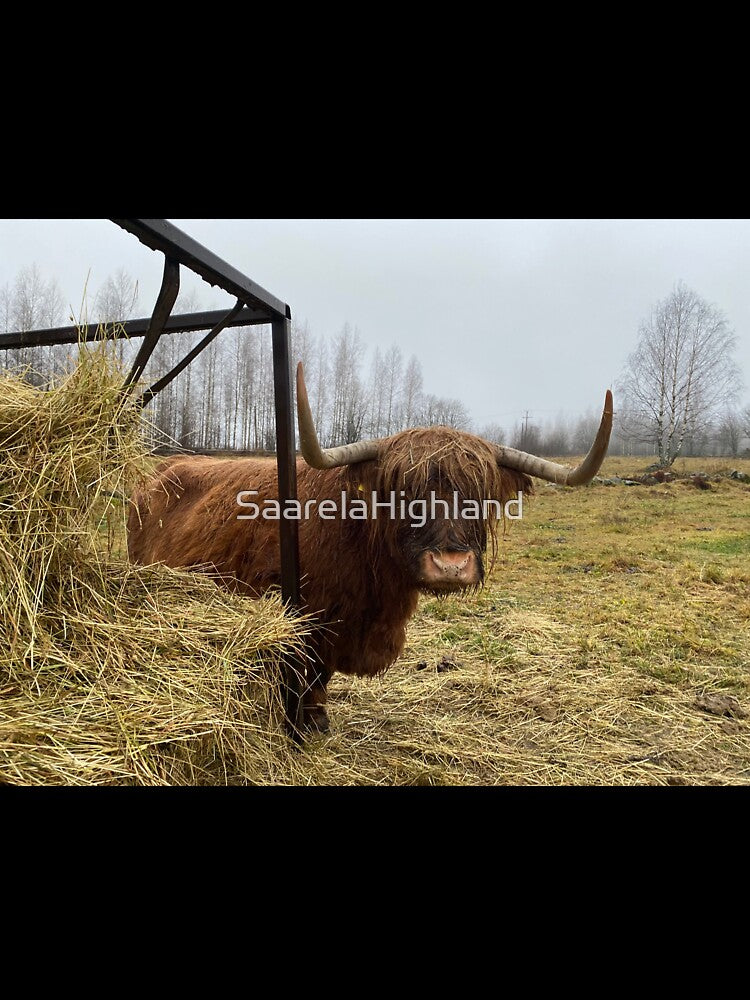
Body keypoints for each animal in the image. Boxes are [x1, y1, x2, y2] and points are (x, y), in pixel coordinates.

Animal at [128, 363, 613, 732]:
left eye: (483, 494)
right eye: (401, 493)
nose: (450, 565)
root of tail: (162, 468)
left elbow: (319, 678)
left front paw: (316, 720)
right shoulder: (303, 620)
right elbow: (302, 674)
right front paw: (299, 726)